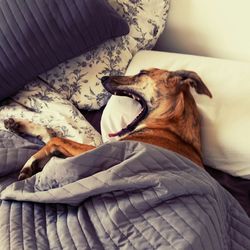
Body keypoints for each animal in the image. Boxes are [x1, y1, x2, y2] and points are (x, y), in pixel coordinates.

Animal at [3, 68, 212, 180]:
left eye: (142, 73)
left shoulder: (96, 152)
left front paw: (30, 163)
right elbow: (51, 134)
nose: (103, 78)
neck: (171, 129)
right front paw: (18, 125)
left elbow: (56, 140)